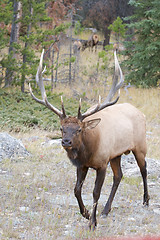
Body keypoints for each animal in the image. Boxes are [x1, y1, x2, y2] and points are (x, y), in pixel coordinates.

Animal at [29, 49, 150, 231]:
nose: (66, 142)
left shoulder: (102, 163)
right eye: (61, 128)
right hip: (116, 154)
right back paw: (106, 210)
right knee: (119, 176)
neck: (89, 151)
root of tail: (140, 112)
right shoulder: (82, 165)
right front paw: (85, 213)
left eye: (79, 129)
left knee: (144, 170)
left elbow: (95, 192)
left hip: (140, 146)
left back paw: (146, 201)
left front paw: (92, 222)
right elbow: (76, 190)